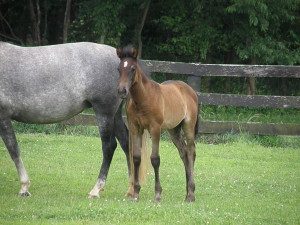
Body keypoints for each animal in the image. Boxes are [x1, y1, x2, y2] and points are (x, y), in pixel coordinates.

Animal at [0, 41, 129, 197]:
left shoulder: (3, 116)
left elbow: (13, 149)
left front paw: (24, 187)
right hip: (115, 115)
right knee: (126, 142)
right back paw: (132, 189)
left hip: (104, 113)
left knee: (109, 147)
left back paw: (96, 189)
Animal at [116, 45, 198, 202]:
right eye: (118, 68)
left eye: (133, 68)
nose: (122, 91)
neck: (143, 99)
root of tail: (190, 91)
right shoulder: (135, 128)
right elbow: (136, 157)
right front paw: (136, 193)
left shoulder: (155, 129)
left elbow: (155, 159)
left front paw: (158, 194)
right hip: (174, 130)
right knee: (184, 152)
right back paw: (187, 193)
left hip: (188, 126)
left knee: (191, 152)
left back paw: (191, 193)